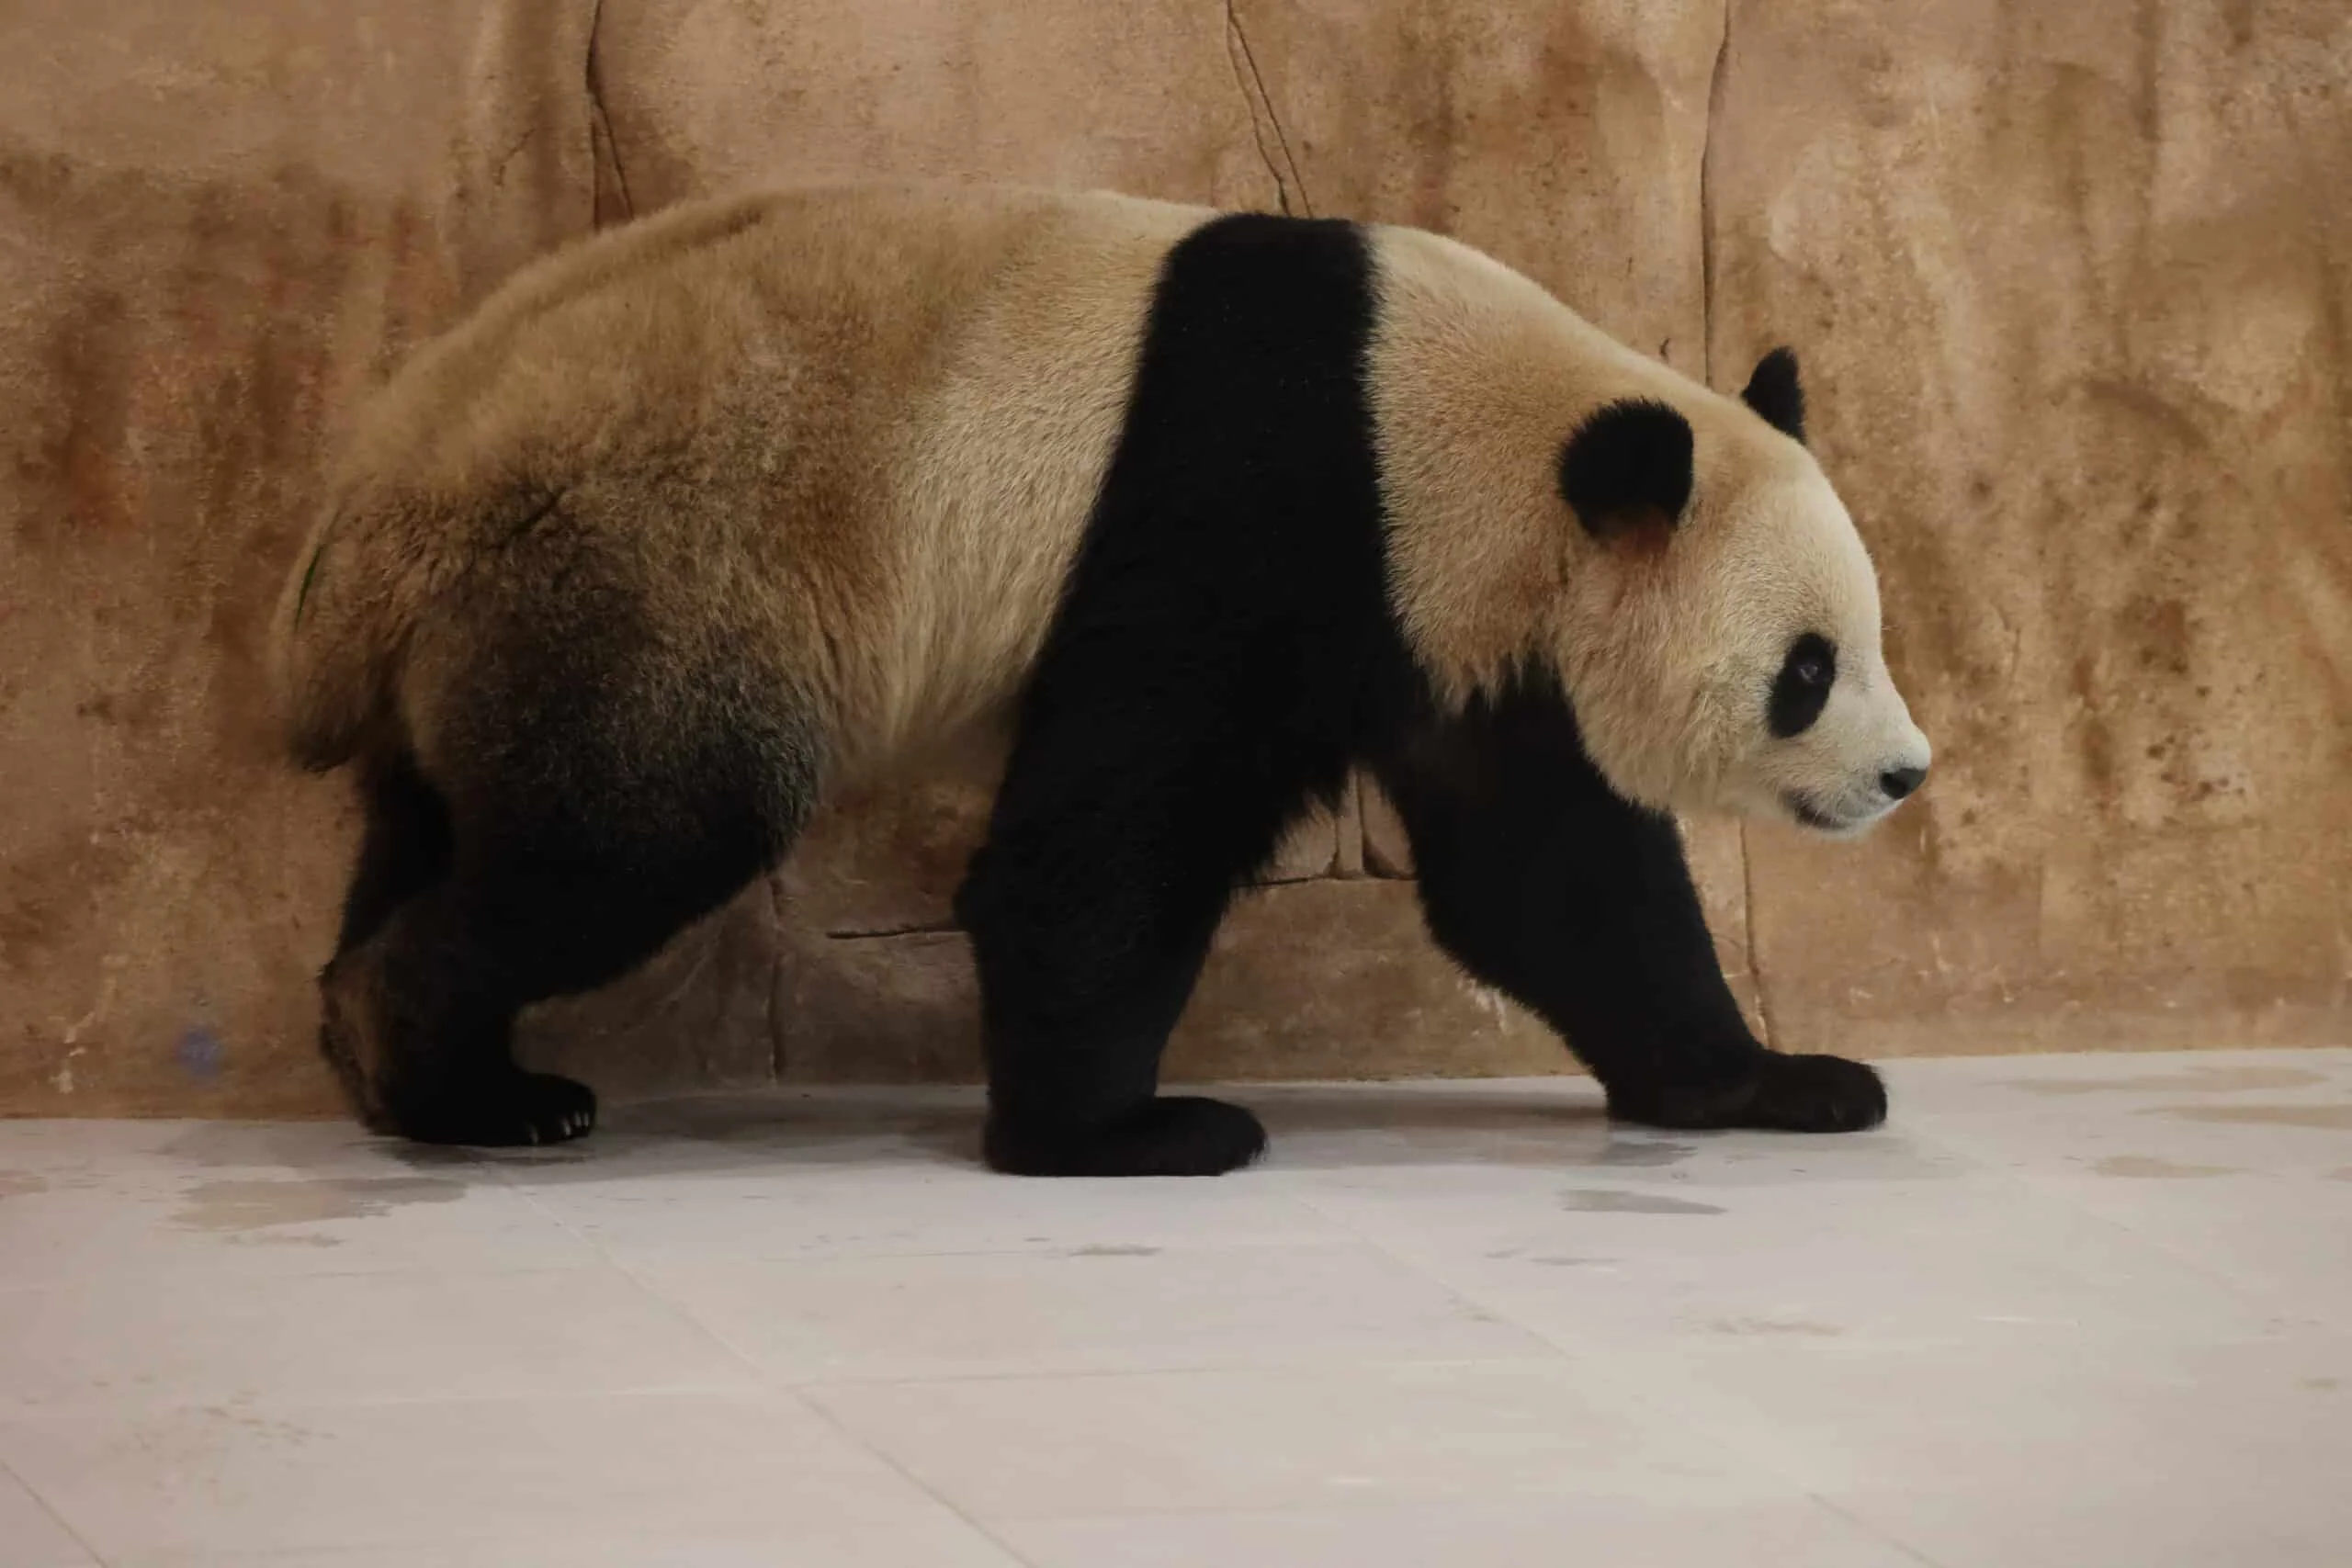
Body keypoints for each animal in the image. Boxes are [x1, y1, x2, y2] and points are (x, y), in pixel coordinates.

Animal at [273, 181, 1932, 1177]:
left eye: (1864, 638)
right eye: (1806, 669)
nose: (1905, 774)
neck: (1461, 426)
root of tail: (366, 512)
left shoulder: (1450, 625)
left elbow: (1550, 874)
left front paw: (1778, 1081)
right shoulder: (1265, 501)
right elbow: (1112, 835)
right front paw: (1132, 1130)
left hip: (500, 629)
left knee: (446, 824)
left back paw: (420, 1063)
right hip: (652, 573)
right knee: (630, 836)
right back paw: (444, 1076)